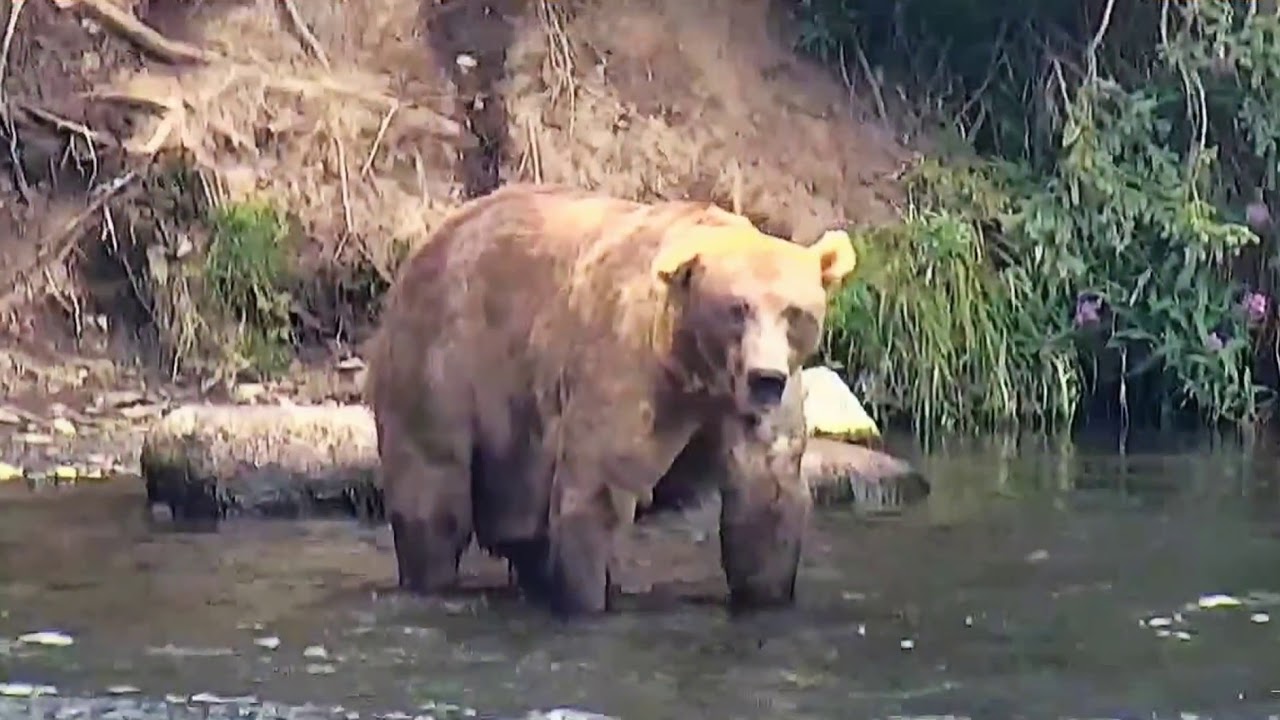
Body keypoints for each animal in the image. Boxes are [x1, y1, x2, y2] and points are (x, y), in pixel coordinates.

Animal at [362, 183, 858, 617]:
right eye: (738, 308)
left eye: (795, 311)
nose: (765, 378)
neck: (692, 362)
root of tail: (432, 238)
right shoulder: (627, 367)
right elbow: (597, 489)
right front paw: (586, 599)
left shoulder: (744, 404)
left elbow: (765, 497)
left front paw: (765, 594)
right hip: (446, 361)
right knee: (434, 498)